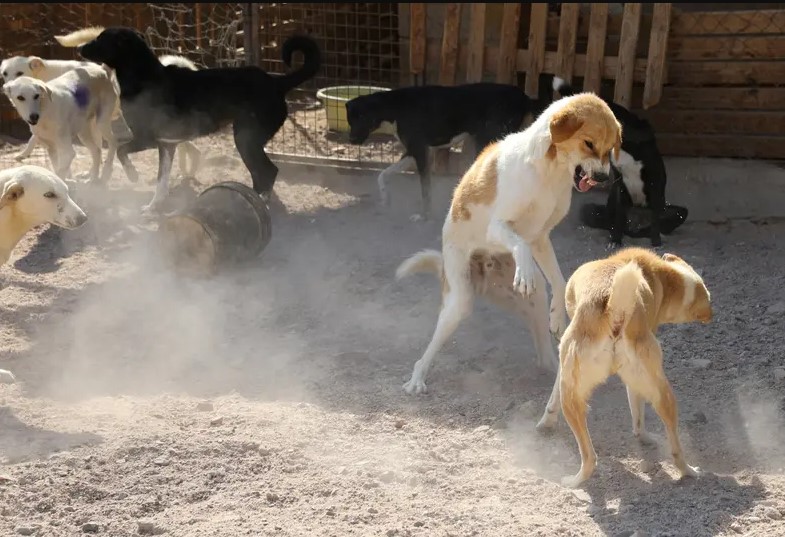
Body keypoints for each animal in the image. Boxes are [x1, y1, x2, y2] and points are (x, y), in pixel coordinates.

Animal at [344, 82, 544, 221]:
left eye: (362, 117)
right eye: (350, 120)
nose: (351, 140)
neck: (394, 108)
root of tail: (524, 96)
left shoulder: (420, 153)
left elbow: (425, 190)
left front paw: (424, 216)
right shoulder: (415, 152)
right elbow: (383, 174)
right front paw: (385, 197)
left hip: (488, 140)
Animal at [396, 91, 620, 394]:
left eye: (610, 149)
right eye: (588, 143)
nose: (603, 178)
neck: (548, 173)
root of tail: (486, 271)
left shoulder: (540, 238)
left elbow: (560, 281)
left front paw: (557, 317)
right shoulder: (499, 227)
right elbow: (519, 244)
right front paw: (524, 273)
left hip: (536, 298)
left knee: (542, 348)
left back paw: (555, 368)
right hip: (458, 302)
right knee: (428, 351)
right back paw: (417, 379)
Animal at [532, 247, 712, 486]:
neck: (664, 276)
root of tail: (614, 310)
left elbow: (552, 398)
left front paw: (547, 421)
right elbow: (638, 417)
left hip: (575, 399)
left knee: (589, 457)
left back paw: (574, 481)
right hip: (660, 392)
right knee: (674, 450)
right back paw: (688, 471)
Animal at [552, 76, 688, 247]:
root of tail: (634, 227)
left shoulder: (654, 185)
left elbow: (656, 220)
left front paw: (656, 242)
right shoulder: (620, 189)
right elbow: (618, 219)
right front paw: (615, 240)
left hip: (678, 212)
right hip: (594, 209)